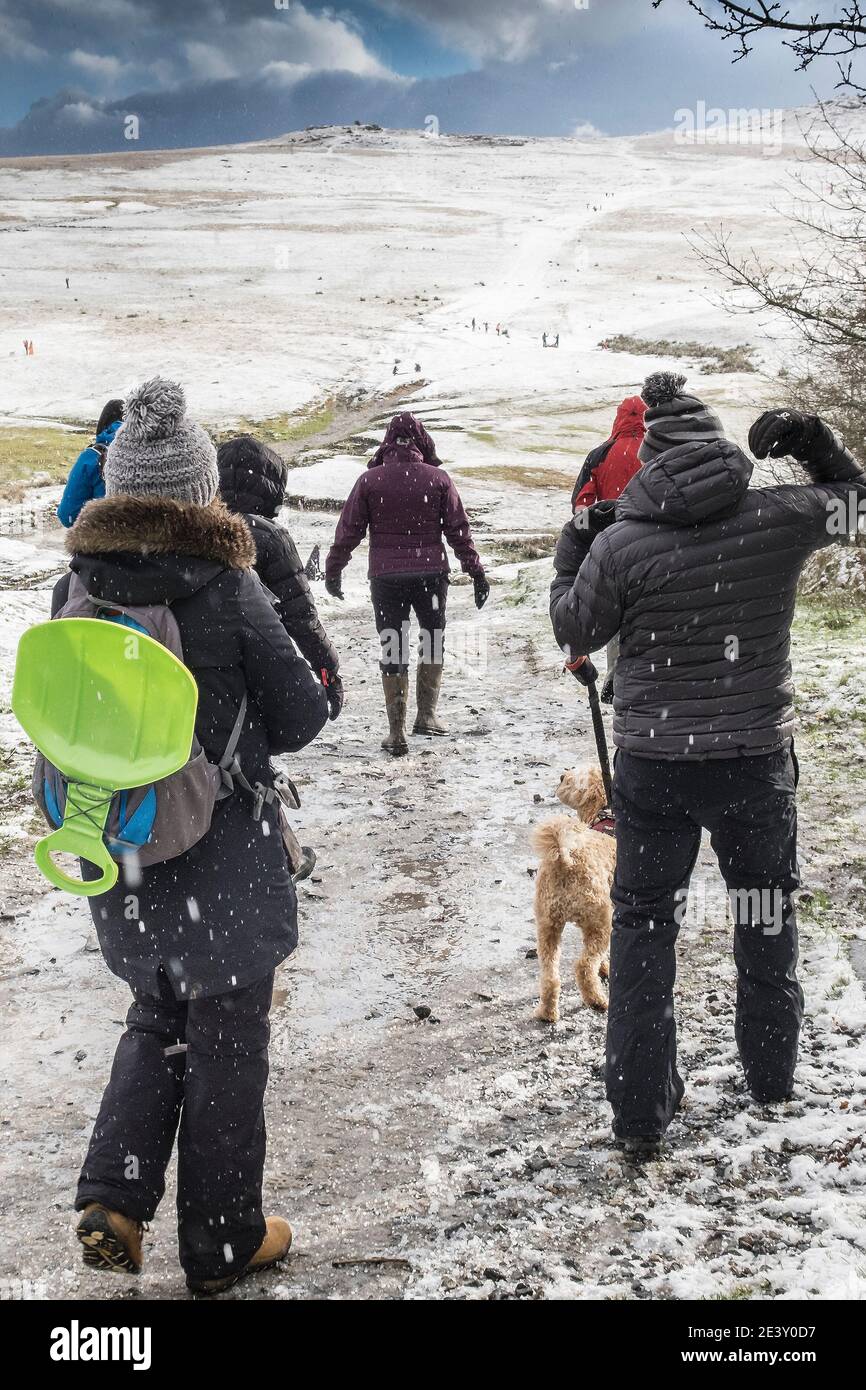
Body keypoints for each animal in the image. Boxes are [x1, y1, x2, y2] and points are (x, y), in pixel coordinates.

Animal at [528, 767, 617, 1017]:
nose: (561, 776)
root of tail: (565, 861)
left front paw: (606, 968)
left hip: (548, 925)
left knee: (550, 975)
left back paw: (547, 1013)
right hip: (600, 922)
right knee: (584, 966)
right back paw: (597, 1000)